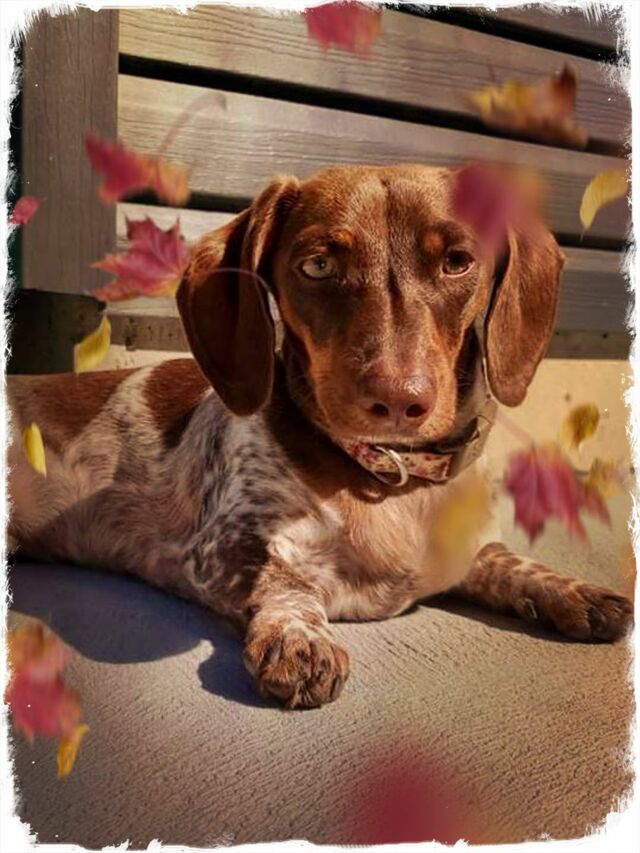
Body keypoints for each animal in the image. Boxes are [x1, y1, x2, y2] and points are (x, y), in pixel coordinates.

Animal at [7, 164, 632, 708]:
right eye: (317, 266)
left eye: (457, 261)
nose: (399, 401)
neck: (392, 481)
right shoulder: (223, 546)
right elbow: (288, 581)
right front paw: (299, 637)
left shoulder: (466, 552)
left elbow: (509, 562)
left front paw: (569, 589)